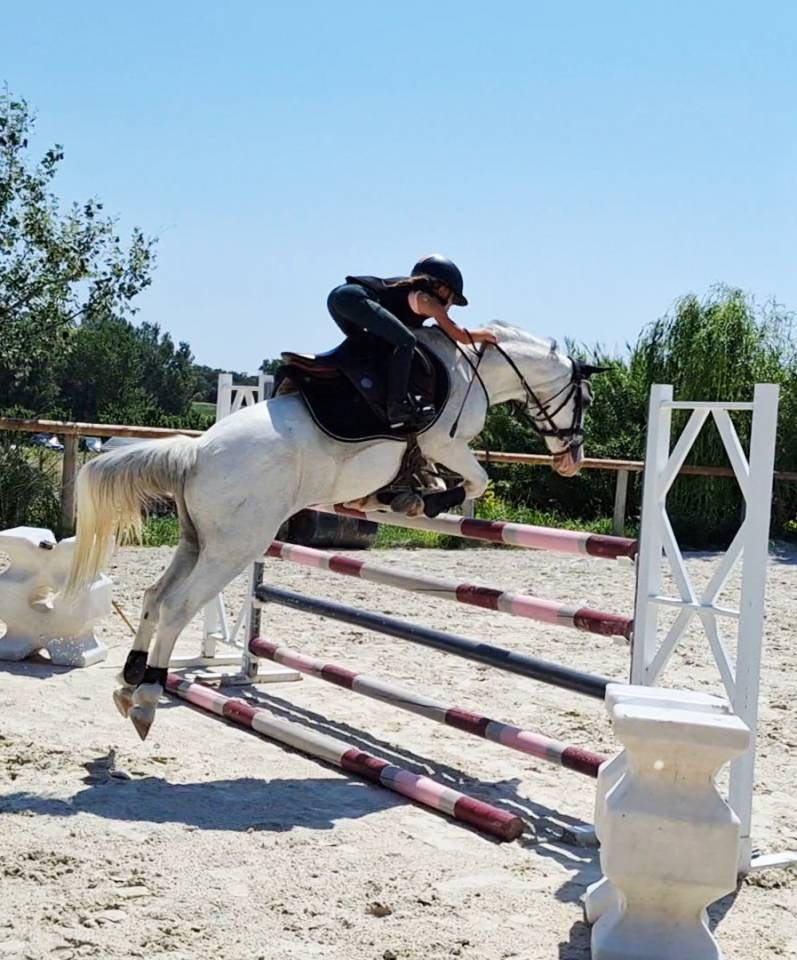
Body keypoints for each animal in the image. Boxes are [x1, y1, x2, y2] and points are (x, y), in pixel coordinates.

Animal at [66, 321, 601, 739]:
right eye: (585, 398)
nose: (572, 460)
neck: (472, 369)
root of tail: (195, 452)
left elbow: (449, 478)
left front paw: (403, 493)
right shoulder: (443, 441)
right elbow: (477, 479)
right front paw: (422, 499)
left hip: (197, 541)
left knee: (155, 596)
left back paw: (129, 680)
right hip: (234, 547)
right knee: (178, 605)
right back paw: (149, 696)